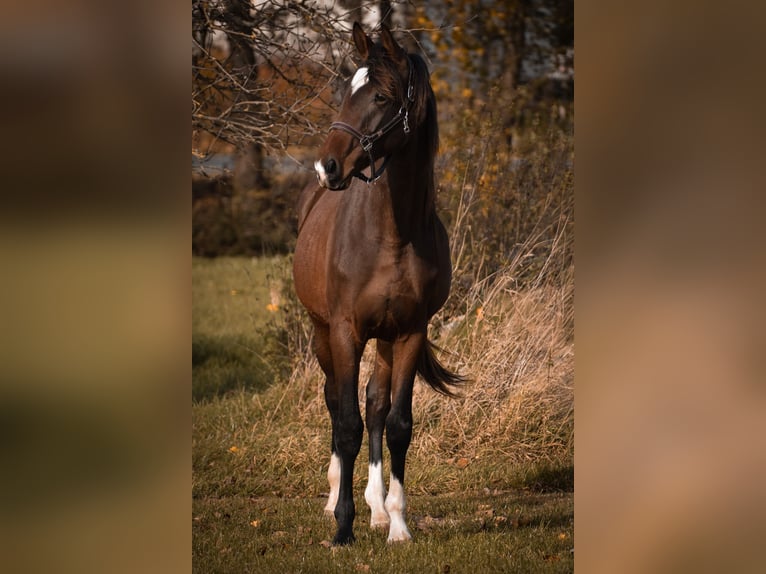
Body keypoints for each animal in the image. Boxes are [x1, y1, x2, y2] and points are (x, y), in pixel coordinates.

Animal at [293, 22, 463, 546]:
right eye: (346, 92)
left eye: (383, 97)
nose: (326, 167)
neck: (392, 234)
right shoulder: (346, 331)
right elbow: (346, 423)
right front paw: (343, 528)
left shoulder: (409, 333)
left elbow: (397, 423)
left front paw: (398, 523)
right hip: (322, 332)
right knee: (335, 401)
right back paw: (335, 499)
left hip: (384, 340)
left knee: (374, 402)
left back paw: (377, 508)